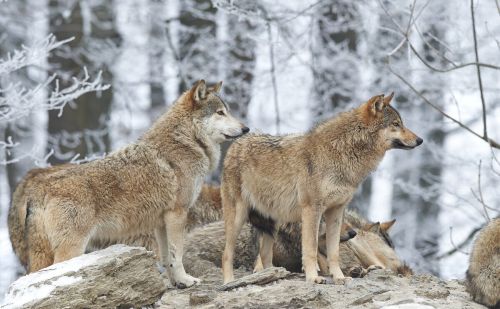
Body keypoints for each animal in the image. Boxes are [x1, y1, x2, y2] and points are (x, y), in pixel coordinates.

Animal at [9, 79, 248, 286]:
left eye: (227, 111)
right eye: (220, 112)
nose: (246, 129)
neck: (187, 141)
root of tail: (36, 190)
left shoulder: (161, 222)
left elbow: (167, 258)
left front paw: (175, 283)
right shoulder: (177, 214)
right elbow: (177, 254)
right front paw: (186, 281)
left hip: (44, 253)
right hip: (71, 249)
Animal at [223, 92, 422, 284]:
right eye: (396, 124)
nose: (420, 140)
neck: (341, 152)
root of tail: (235, 145)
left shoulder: (336, 210)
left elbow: (334, 253)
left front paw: (339, 278)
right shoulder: (312, 209)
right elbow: (311, 250)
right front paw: (313, 278)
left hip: (272, 223)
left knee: (265, 255)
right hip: (239, 217)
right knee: (227, 253)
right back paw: (229, 282)